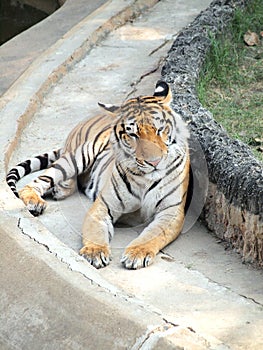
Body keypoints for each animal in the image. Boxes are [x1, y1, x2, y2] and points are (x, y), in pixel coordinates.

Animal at [6, 80, 191, 270]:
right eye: (133, 134)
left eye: (160, 129)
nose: (154, 162)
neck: (145, 178)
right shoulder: (103, 205)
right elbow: (96, 231)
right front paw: (94, 252)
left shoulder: (170, 212)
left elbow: (153, 234)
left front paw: (136, 253)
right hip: (78, 156)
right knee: (37, 181)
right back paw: (37, 200)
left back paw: (59, 190)